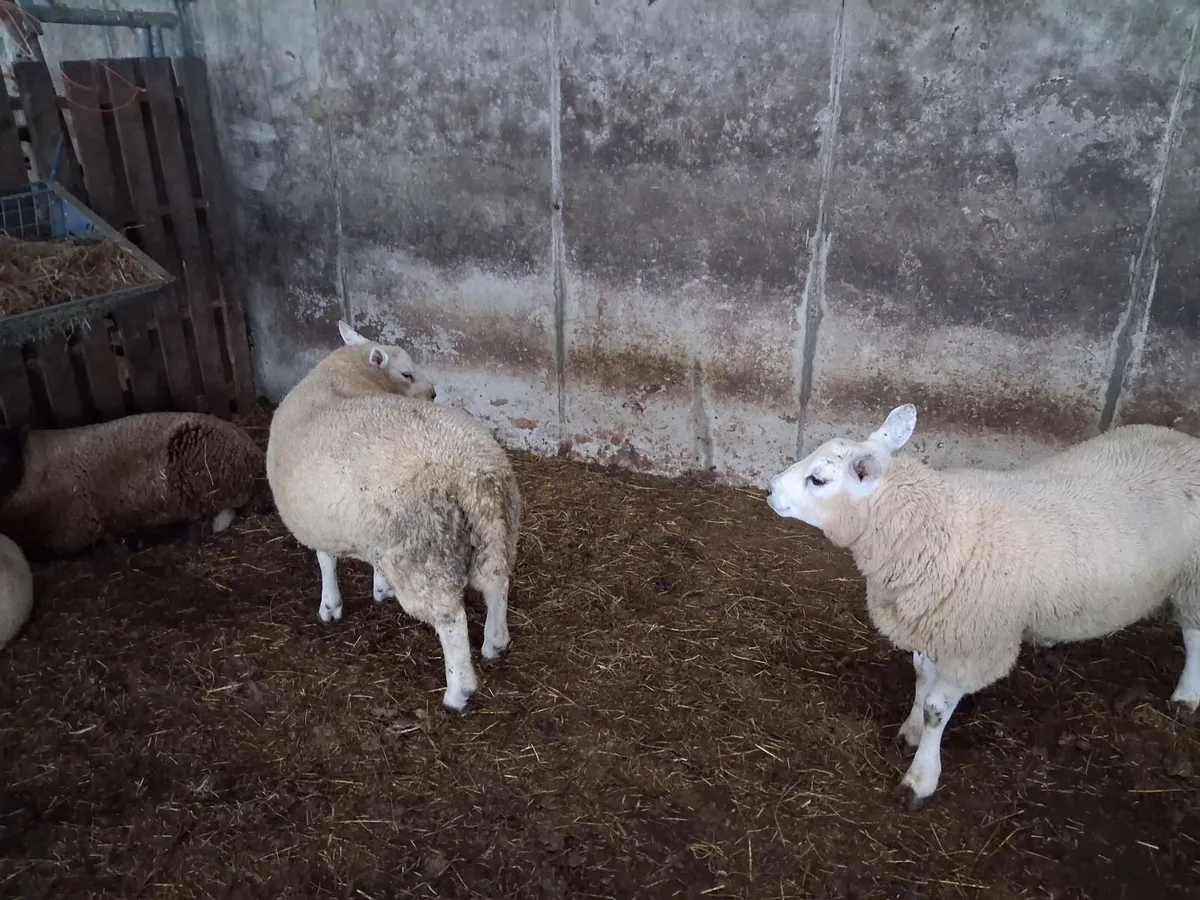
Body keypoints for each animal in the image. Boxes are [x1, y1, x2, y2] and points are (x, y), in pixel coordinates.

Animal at [0, 412, 264, 559]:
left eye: (5, 456)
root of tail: (251, 453)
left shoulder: (75, 528)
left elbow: (42, 552)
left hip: (197, 485)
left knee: (195, 526)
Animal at [266, 320, 522, 713]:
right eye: (406, 372)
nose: (433, 393)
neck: (342, 380)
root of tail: (471, 472)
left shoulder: (320, 520)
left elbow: (325, 559)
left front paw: (330, 605)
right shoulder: (361, 523)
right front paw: (380, 586)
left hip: (424, 552)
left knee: (451, 619)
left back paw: (458, 691)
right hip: (495, 527)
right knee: (496, 583)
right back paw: (495, 642)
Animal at [765, 403, 1200, 810]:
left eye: (818, 479)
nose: (769, 489)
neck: (935, 526)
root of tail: (1187, 442)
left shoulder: (975, 644)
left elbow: (936, 709)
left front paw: (921, 777)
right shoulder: (933, 623)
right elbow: (921, 678)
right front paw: (910, 732)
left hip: (1193, 579)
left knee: (1194, 635)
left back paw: (1186, 697)